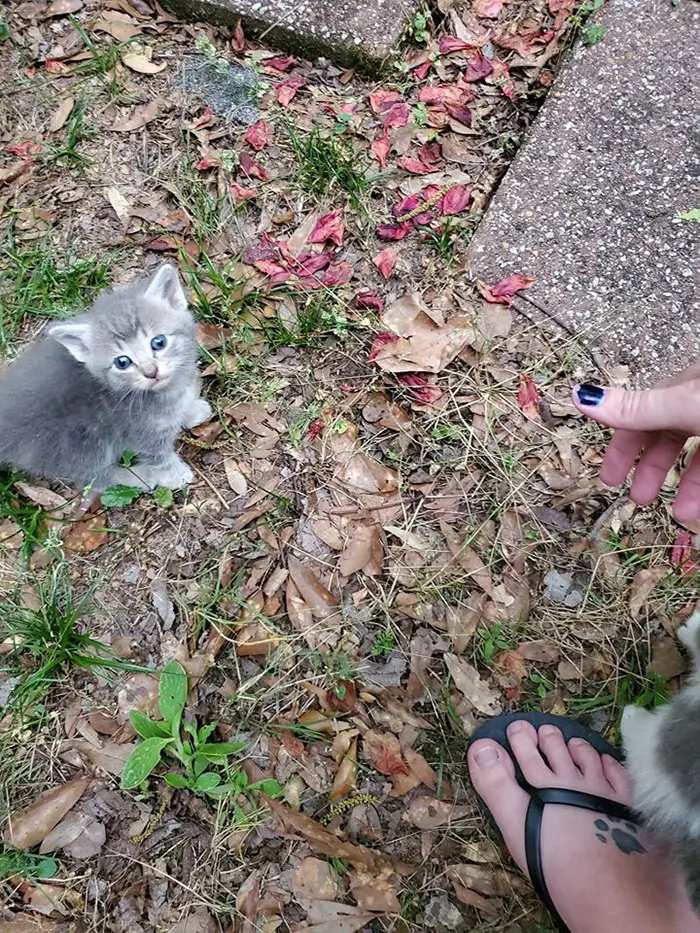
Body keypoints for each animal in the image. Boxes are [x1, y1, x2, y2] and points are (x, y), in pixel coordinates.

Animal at [0, 262, 211, 492]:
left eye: (158, 342)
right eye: (122, 362)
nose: (151, 372)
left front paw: (192, 411)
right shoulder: (140, 432)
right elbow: (157, 456)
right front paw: (174, 475)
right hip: (81, 444)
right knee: (94, 478)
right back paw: (138, 477)